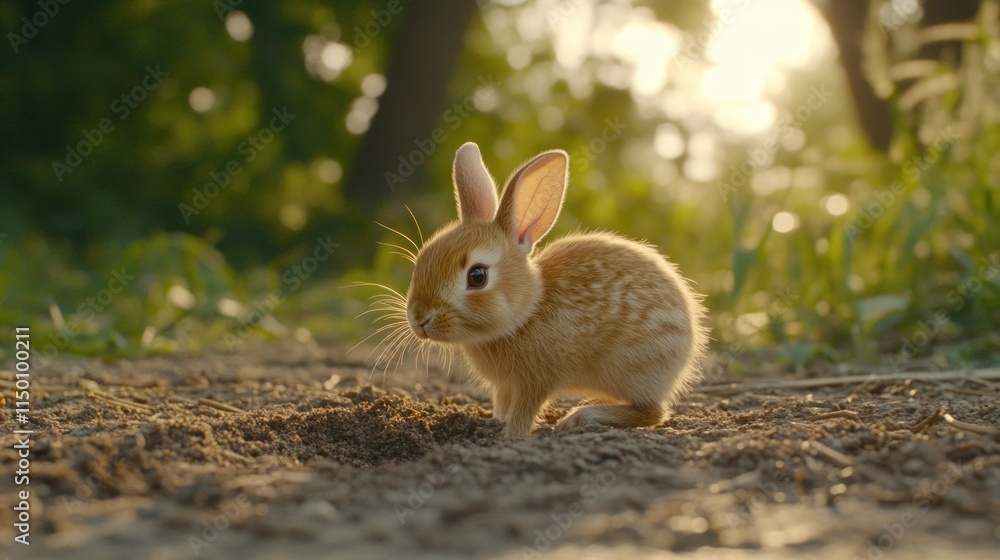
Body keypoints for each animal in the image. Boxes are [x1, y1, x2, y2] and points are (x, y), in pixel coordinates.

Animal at [405, 142, 709, 438]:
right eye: (422, 258)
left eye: (477, 276)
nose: (419, 318)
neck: (526, 313)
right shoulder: (508, 385)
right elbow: (503, 402)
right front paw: (495, 422)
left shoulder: (536, 380)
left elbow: (525, 411)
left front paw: (510, 436)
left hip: (633, 370)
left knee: (654, 412)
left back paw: (581, 416)